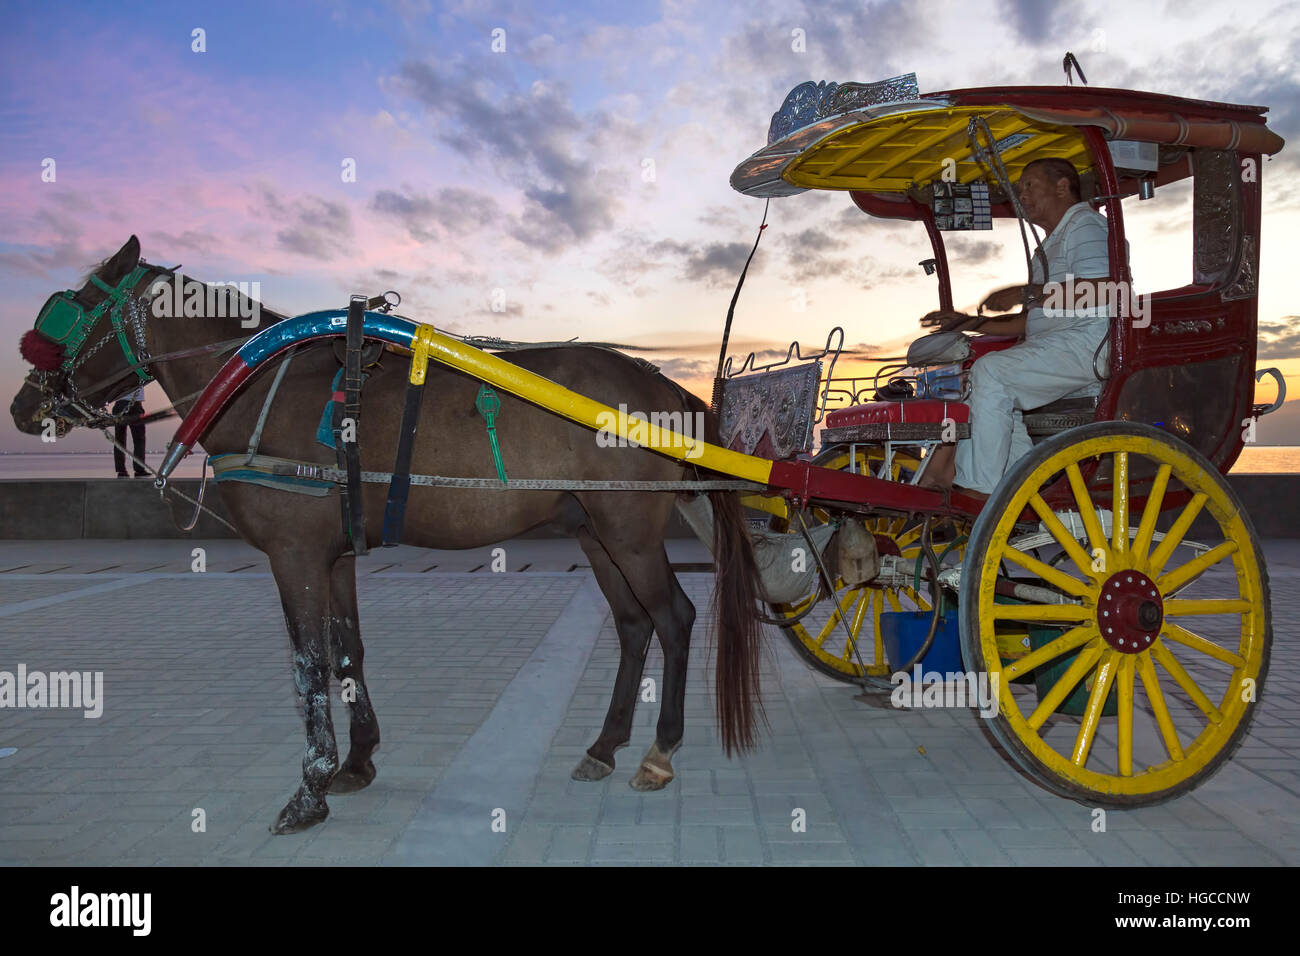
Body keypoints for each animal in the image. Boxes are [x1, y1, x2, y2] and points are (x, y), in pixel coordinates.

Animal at [10, 235, 764, 832]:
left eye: (66, 312)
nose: (23, 406)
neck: (258, 383)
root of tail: (662, 384)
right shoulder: (333, 554)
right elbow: (348, 651)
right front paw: (359, 758)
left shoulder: (293, 554)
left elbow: (308, 663)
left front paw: (310, 787)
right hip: (594, 528)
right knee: (634, 625)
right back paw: (605, 746)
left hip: (628, 528)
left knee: (674, 618)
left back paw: (659, 751)